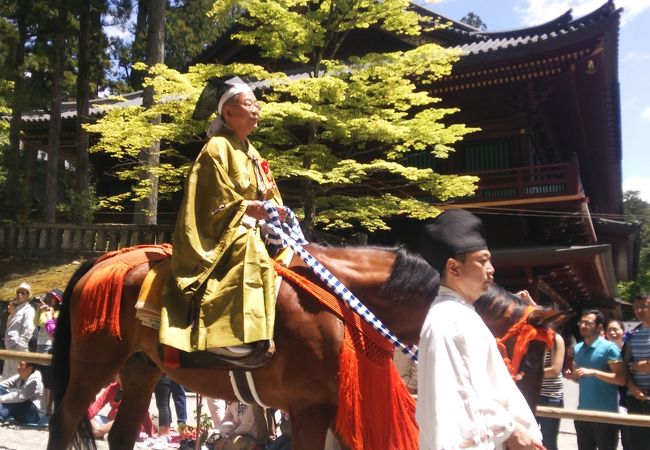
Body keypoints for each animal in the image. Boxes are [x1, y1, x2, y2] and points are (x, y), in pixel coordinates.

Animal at [46, 246, 556, 450]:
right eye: (530, 359)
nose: (531, 423)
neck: (349, 304)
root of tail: (104, 260)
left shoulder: (339, 405)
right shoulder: (310, 405)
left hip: (141, 368)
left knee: (121, 433)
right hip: (92, 363)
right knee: (65, 419)